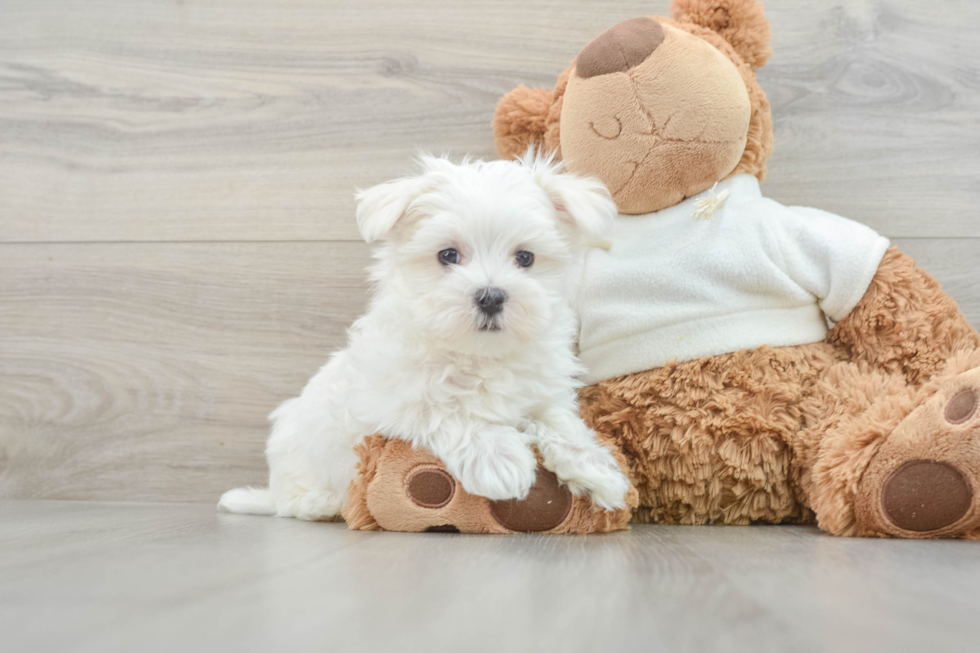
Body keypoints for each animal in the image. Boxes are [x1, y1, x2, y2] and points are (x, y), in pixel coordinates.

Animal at [219, 152, 632, 520]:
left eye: (525, 258)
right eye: (448, 255)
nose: (491, 296)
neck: (477, 355)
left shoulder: (541, 393)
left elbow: (559, 422)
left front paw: (597, 469)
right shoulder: (388, 400)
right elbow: (445, 409)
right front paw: (499, 459)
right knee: (293, 502)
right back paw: (320, 503)